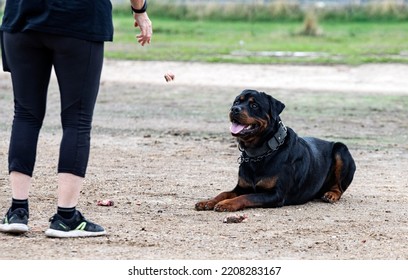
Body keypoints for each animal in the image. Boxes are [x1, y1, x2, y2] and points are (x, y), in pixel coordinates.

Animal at [196, 89, 356, 212]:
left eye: (254, 105)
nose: (234, 109)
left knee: (340, 187)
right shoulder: (241, 187)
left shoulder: (275, 194)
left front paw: (227, 204)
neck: (258, 152)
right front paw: (208, 201)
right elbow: (224, 193)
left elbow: (248, 196)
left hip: (341, 150)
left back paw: (331, 195)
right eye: (236, 102)